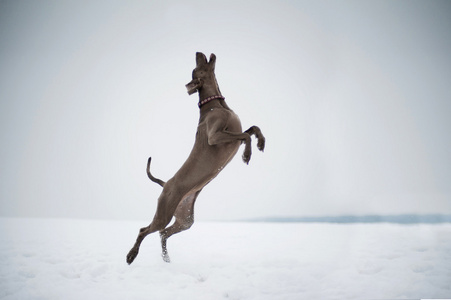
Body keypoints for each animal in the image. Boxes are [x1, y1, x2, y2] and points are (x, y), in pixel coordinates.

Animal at [126, 52, 264, 264]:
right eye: (196, 68)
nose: (198, 53)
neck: (216, 105)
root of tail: (165, 184)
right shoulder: (215, 136)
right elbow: (245, 135)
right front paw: (246, 155)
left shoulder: (233, 135)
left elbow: (253, 129)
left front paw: (261, 143)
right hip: (164, 212)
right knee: (145, 230)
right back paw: (131, 255)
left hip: (185, 218)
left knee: (163, 233)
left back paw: (166, 258)